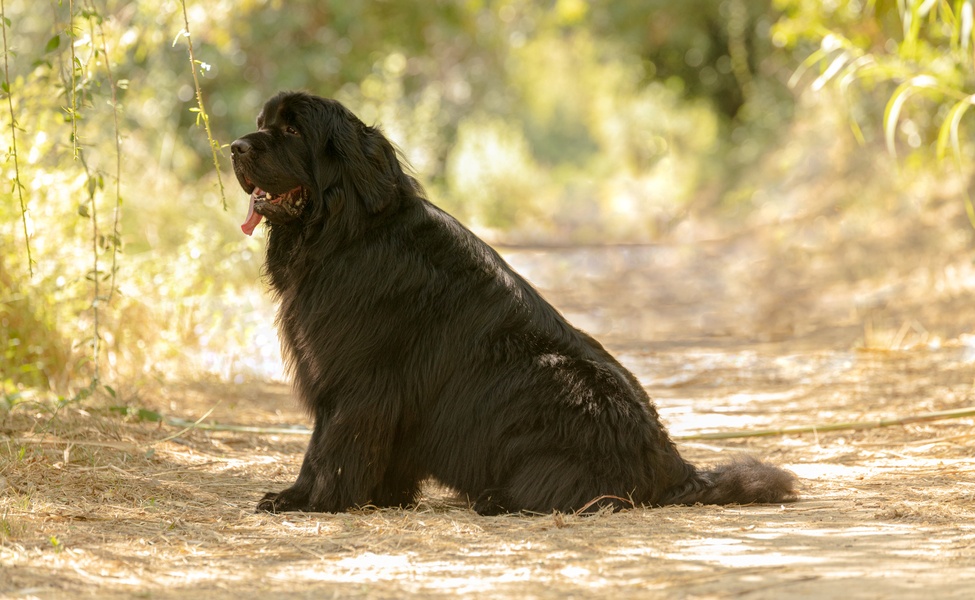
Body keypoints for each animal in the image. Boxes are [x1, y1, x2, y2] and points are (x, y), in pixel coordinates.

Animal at [231, 91, 800, 512]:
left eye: (293, 131)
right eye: (261, 123)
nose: (235, 146)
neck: (348, 232)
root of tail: (674, 465)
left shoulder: (356, 378)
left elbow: (328, 446)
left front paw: (308, 501)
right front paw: (370, 498)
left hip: (550, 376)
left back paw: (497, 499)